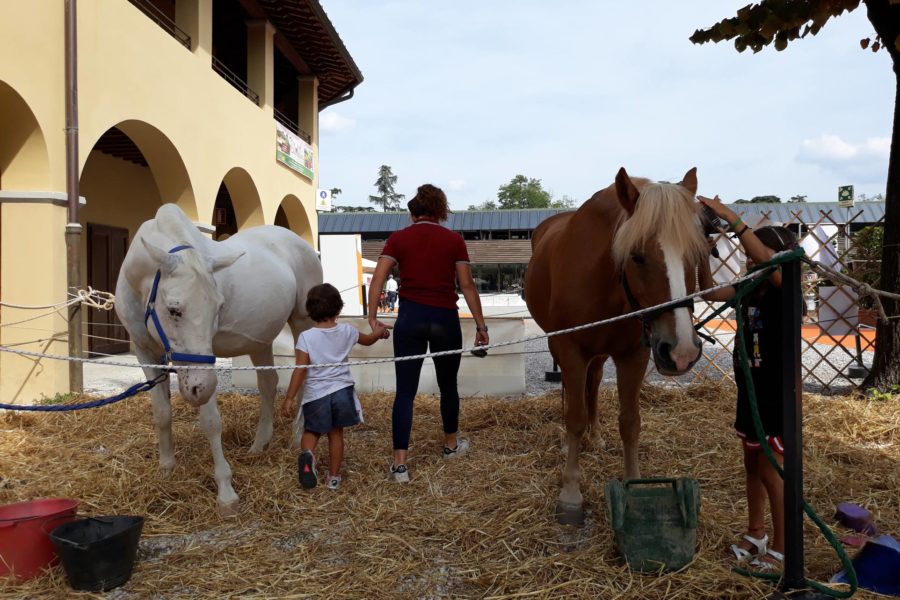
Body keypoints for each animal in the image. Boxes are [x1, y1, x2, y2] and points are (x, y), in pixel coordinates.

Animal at [114, 205, 322, 516]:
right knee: (268, 383)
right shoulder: (145, 352)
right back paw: (260, 444)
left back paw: (297, 437)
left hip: (302, 323)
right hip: (260, 341)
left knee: (304, 374)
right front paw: (166, 469)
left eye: (219, 307)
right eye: (174, 309)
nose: (199, 388)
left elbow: (211, 422)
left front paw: (226, 492)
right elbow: (162, 413)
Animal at [528, 166, 712, 524]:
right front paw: (570, 494)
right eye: (637, 256)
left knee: (594, 384)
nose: (682, 352)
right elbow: (574, 416)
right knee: (571, 394)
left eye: (697, 255)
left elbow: (630, 422)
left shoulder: (634, 355)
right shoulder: (570, 351)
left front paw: (633, 483)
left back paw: (596, 434)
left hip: (601, 356)